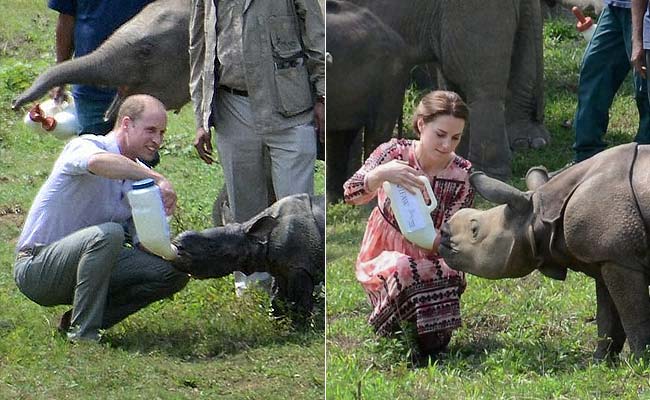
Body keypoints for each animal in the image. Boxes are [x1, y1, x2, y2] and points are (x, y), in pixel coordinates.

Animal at [172, 193, 324, 322]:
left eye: (212, 248)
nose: (177, 245)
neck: (256, 239)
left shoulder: (300, 267)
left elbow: (301, 299)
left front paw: (301, 325)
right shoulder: (279, 267)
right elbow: (276, 296)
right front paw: (276, 322)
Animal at [439, 143, 650, 360]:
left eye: (474, 230)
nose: (443, 233)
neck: (538, 216)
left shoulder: (620, 258)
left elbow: (633, 314)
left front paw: (640, 360)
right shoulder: (606, 255)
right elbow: (607, 316)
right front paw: (601, 360)